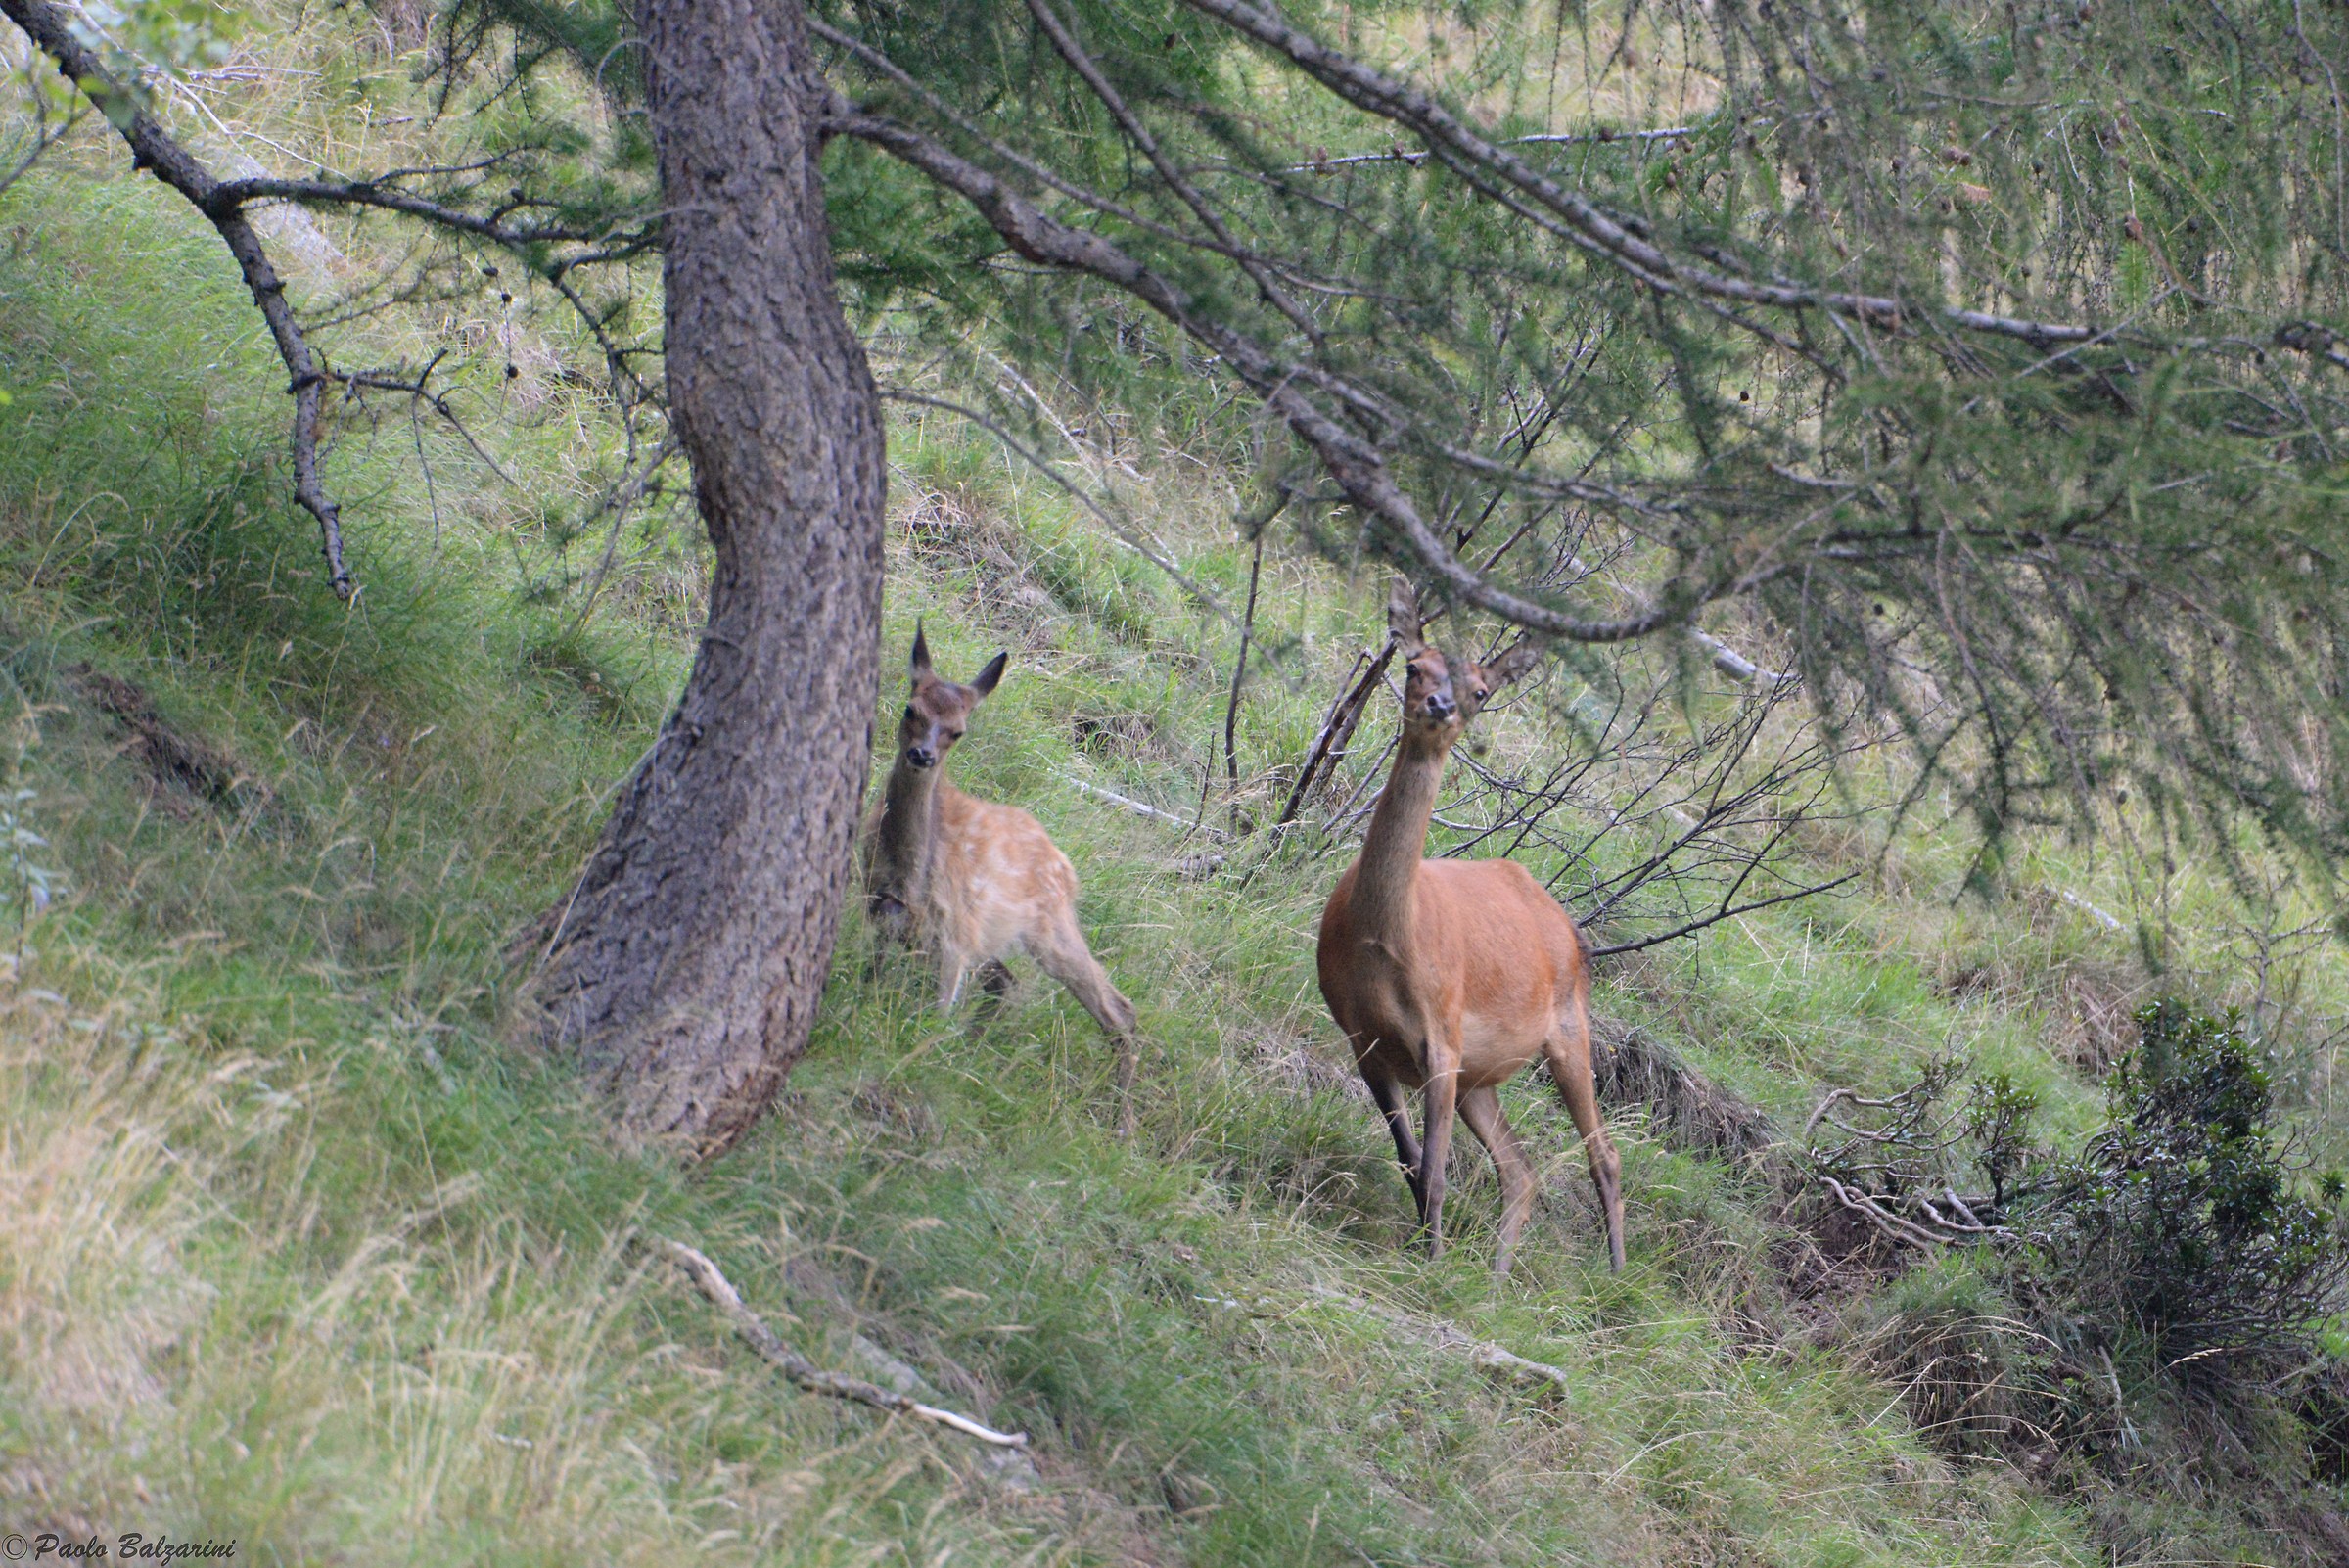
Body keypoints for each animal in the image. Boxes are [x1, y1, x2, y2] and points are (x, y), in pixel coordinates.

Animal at [864, 623, 1140, 1125]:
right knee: (1006, 982)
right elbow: (867, 980)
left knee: (1119, 1009)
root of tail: (1065, 865)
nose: (922, 755)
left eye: (958, 731)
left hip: (1045, 928)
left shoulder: (953, 939)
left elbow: (935, 1013)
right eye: (912, 708)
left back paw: (1121, 1123)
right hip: (993, 932)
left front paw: (915, 1062)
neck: (907, 868)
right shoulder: (876, 907)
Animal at [1316, 577, 1625, 1277]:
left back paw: (1614, 1280)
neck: (1381, 937)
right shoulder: (1363, 1038)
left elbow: (1435, 1171)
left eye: (1481, 690)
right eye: (1414, 665)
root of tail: (1569, 929)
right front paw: (1424, 1250)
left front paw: (1427, 1262)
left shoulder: (1442, 1032)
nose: (1441, 703)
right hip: (1481, 1078)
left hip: (1568, 1028)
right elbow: (1411, 1162)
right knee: (1522, 1168)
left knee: (1605, 1155)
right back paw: (1497, 1274)